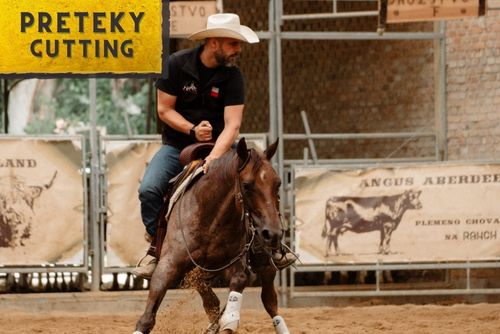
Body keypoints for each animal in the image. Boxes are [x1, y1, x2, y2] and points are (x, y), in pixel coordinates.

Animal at [135, 138, 292, 334]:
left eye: (278, 183)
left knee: (270, 302)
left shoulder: (237, 264)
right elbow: (147, 317)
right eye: (247, 185)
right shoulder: (168, 265)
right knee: (213, 303)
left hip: (266, 266)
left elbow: (238, 289)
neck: (210, 219)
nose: (273, 233)